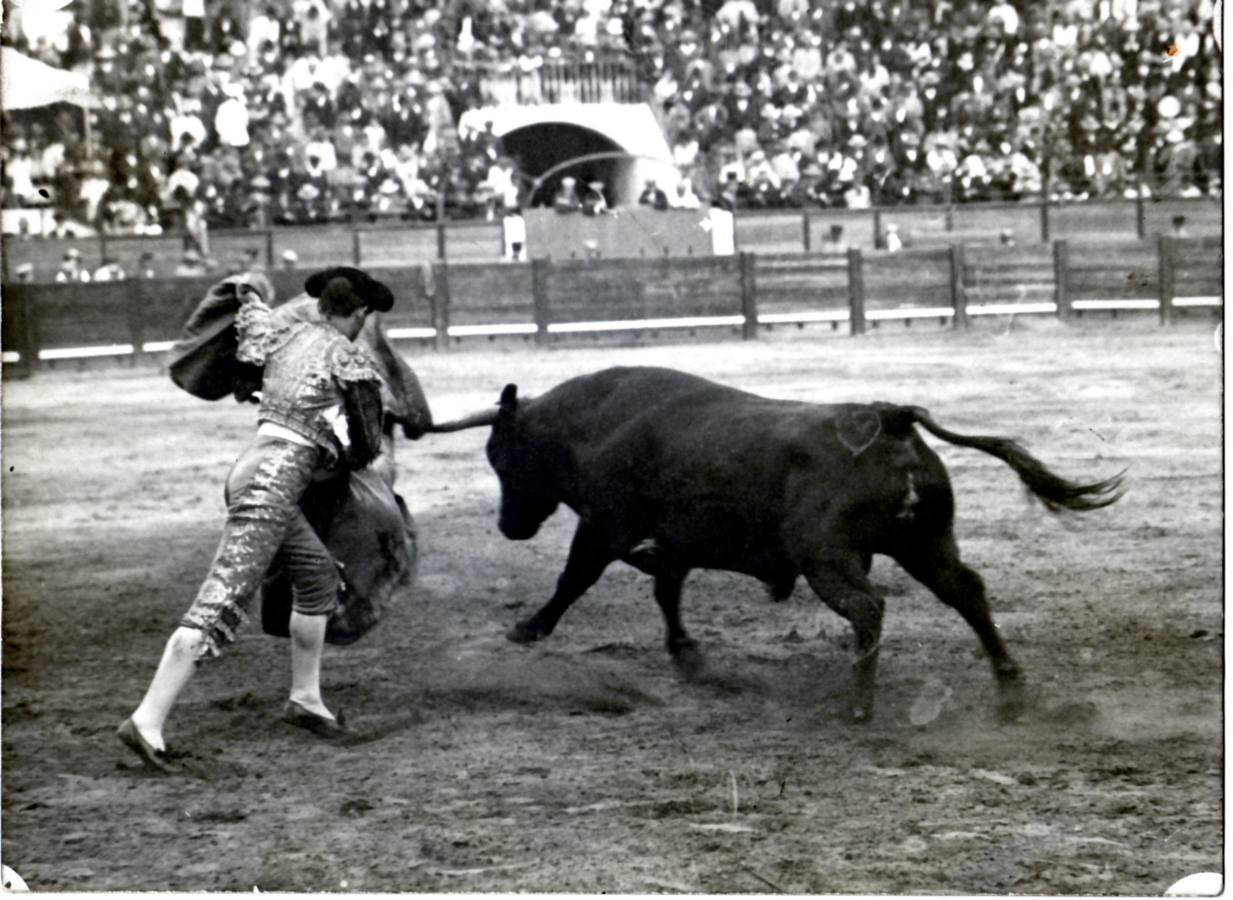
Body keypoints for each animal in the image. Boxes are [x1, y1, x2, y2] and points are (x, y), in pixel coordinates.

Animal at [434, 359, 1129, 719]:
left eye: (500, 457)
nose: (509, 526)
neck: (594, 422)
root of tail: (890, 417)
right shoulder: (673, 540)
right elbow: (665, 589)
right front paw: (688, 656)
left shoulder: (606, 525)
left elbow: (576, 577)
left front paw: (528, 628)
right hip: (925, 544)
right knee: (968, 592)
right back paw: (1009, 686)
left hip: (828, 557)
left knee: (868, 608)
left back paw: (858, 705)